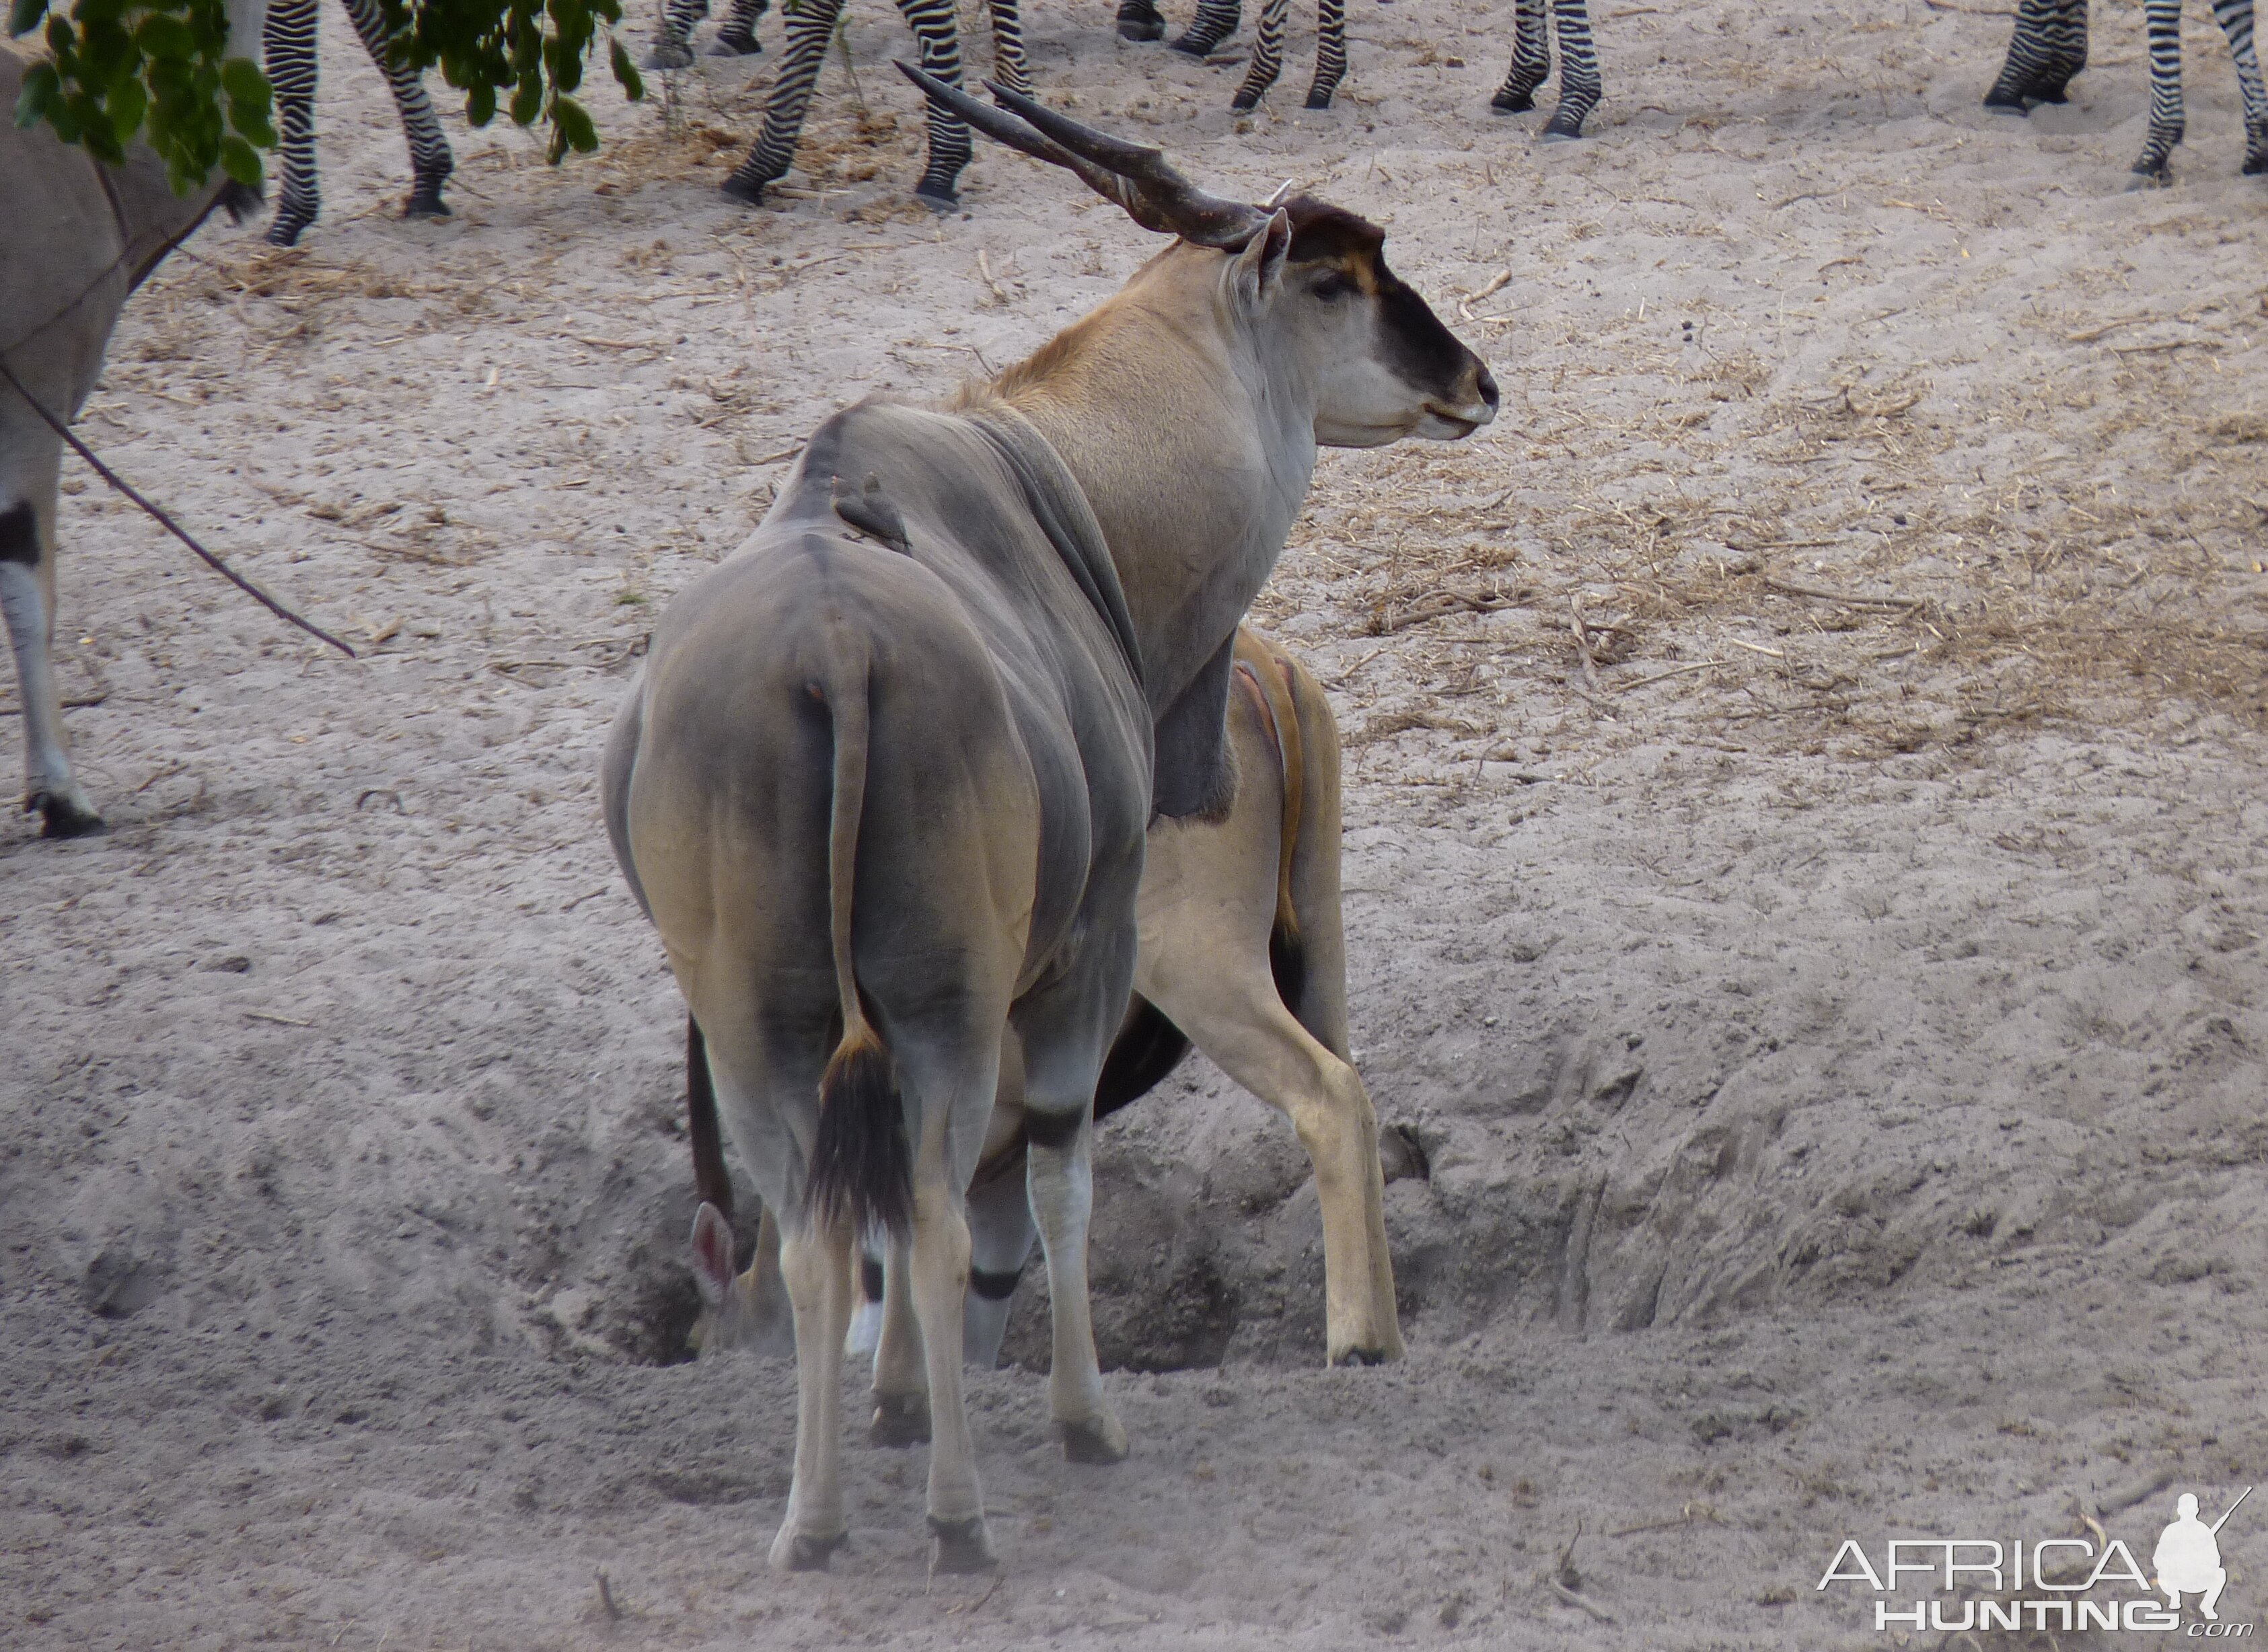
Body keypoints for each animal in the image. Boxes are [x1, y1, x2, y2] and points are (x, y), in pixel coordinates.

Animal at [603, 74, 1496, 1568]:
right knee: (1300, 1100)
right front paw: (1031, 1417)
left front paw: (923, 1411)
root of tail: (834, 650)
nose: (1475, 382)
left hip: (817, 1015)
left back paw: (854, 1514)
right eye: (1334, 280)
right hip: (980, 994)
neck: (1053, 477)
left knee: (856, 1221)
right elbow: (1032, 1201)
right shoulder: (1086, 948)